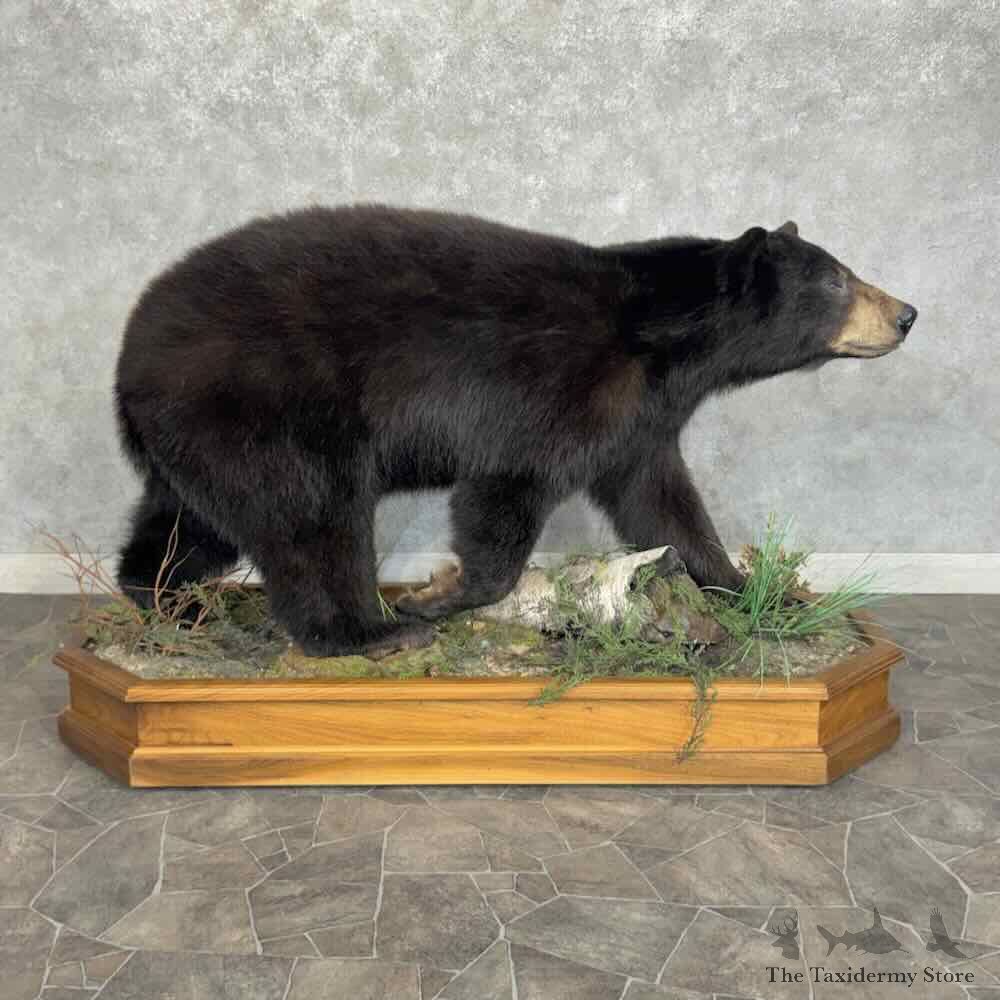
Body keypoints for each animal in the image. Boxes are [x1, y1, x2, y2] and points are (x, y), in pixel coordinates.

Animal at [113, 205, 917, 657]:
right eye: (837, 280)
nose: (907, 313)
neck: (656, 337)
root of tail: (131, 352)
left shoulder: (641, 419)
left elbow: (664, 506)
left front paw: (753, 588)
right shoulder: (556, 387)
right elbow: (508, 489)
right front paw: (439, 596)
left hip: (196, 436)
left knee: (191, 522)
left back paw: (168, 601)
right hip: (270, 406)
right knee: (311, 515)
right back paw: (368, 633)